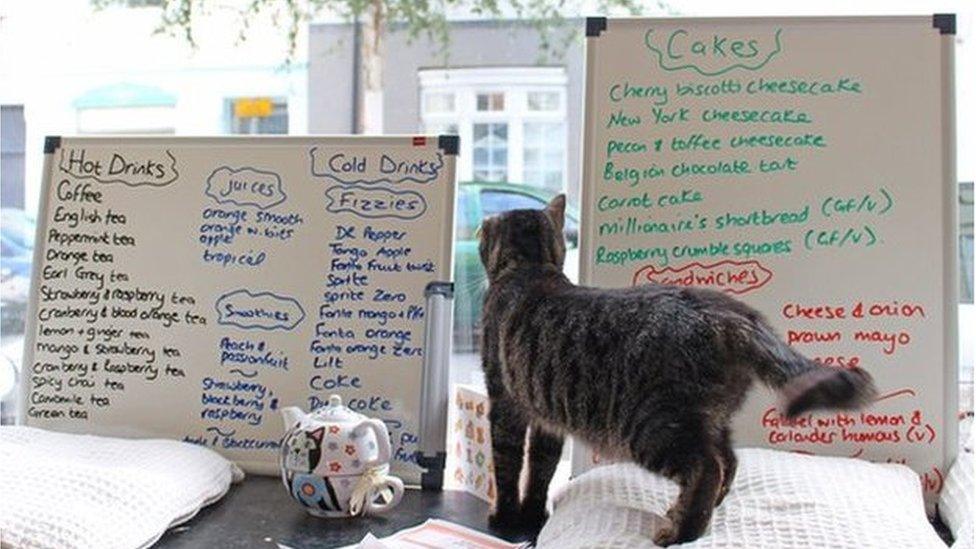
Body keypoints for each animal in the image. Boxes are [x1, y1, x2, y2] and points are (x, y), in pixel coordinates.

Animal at [478, 196, 876, 544]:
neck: (529, 268)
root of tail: (730, 313)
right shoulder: (545, 417)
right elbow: (540, 469)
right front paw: (532, 515)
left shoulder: (504, 402)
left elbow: (507, 464)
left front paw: (505, 517)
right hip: (706, 418)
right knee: (729, 461)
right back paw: (687, 513)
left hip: (653, 425)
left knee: (708, 468)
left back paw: (680, 532)